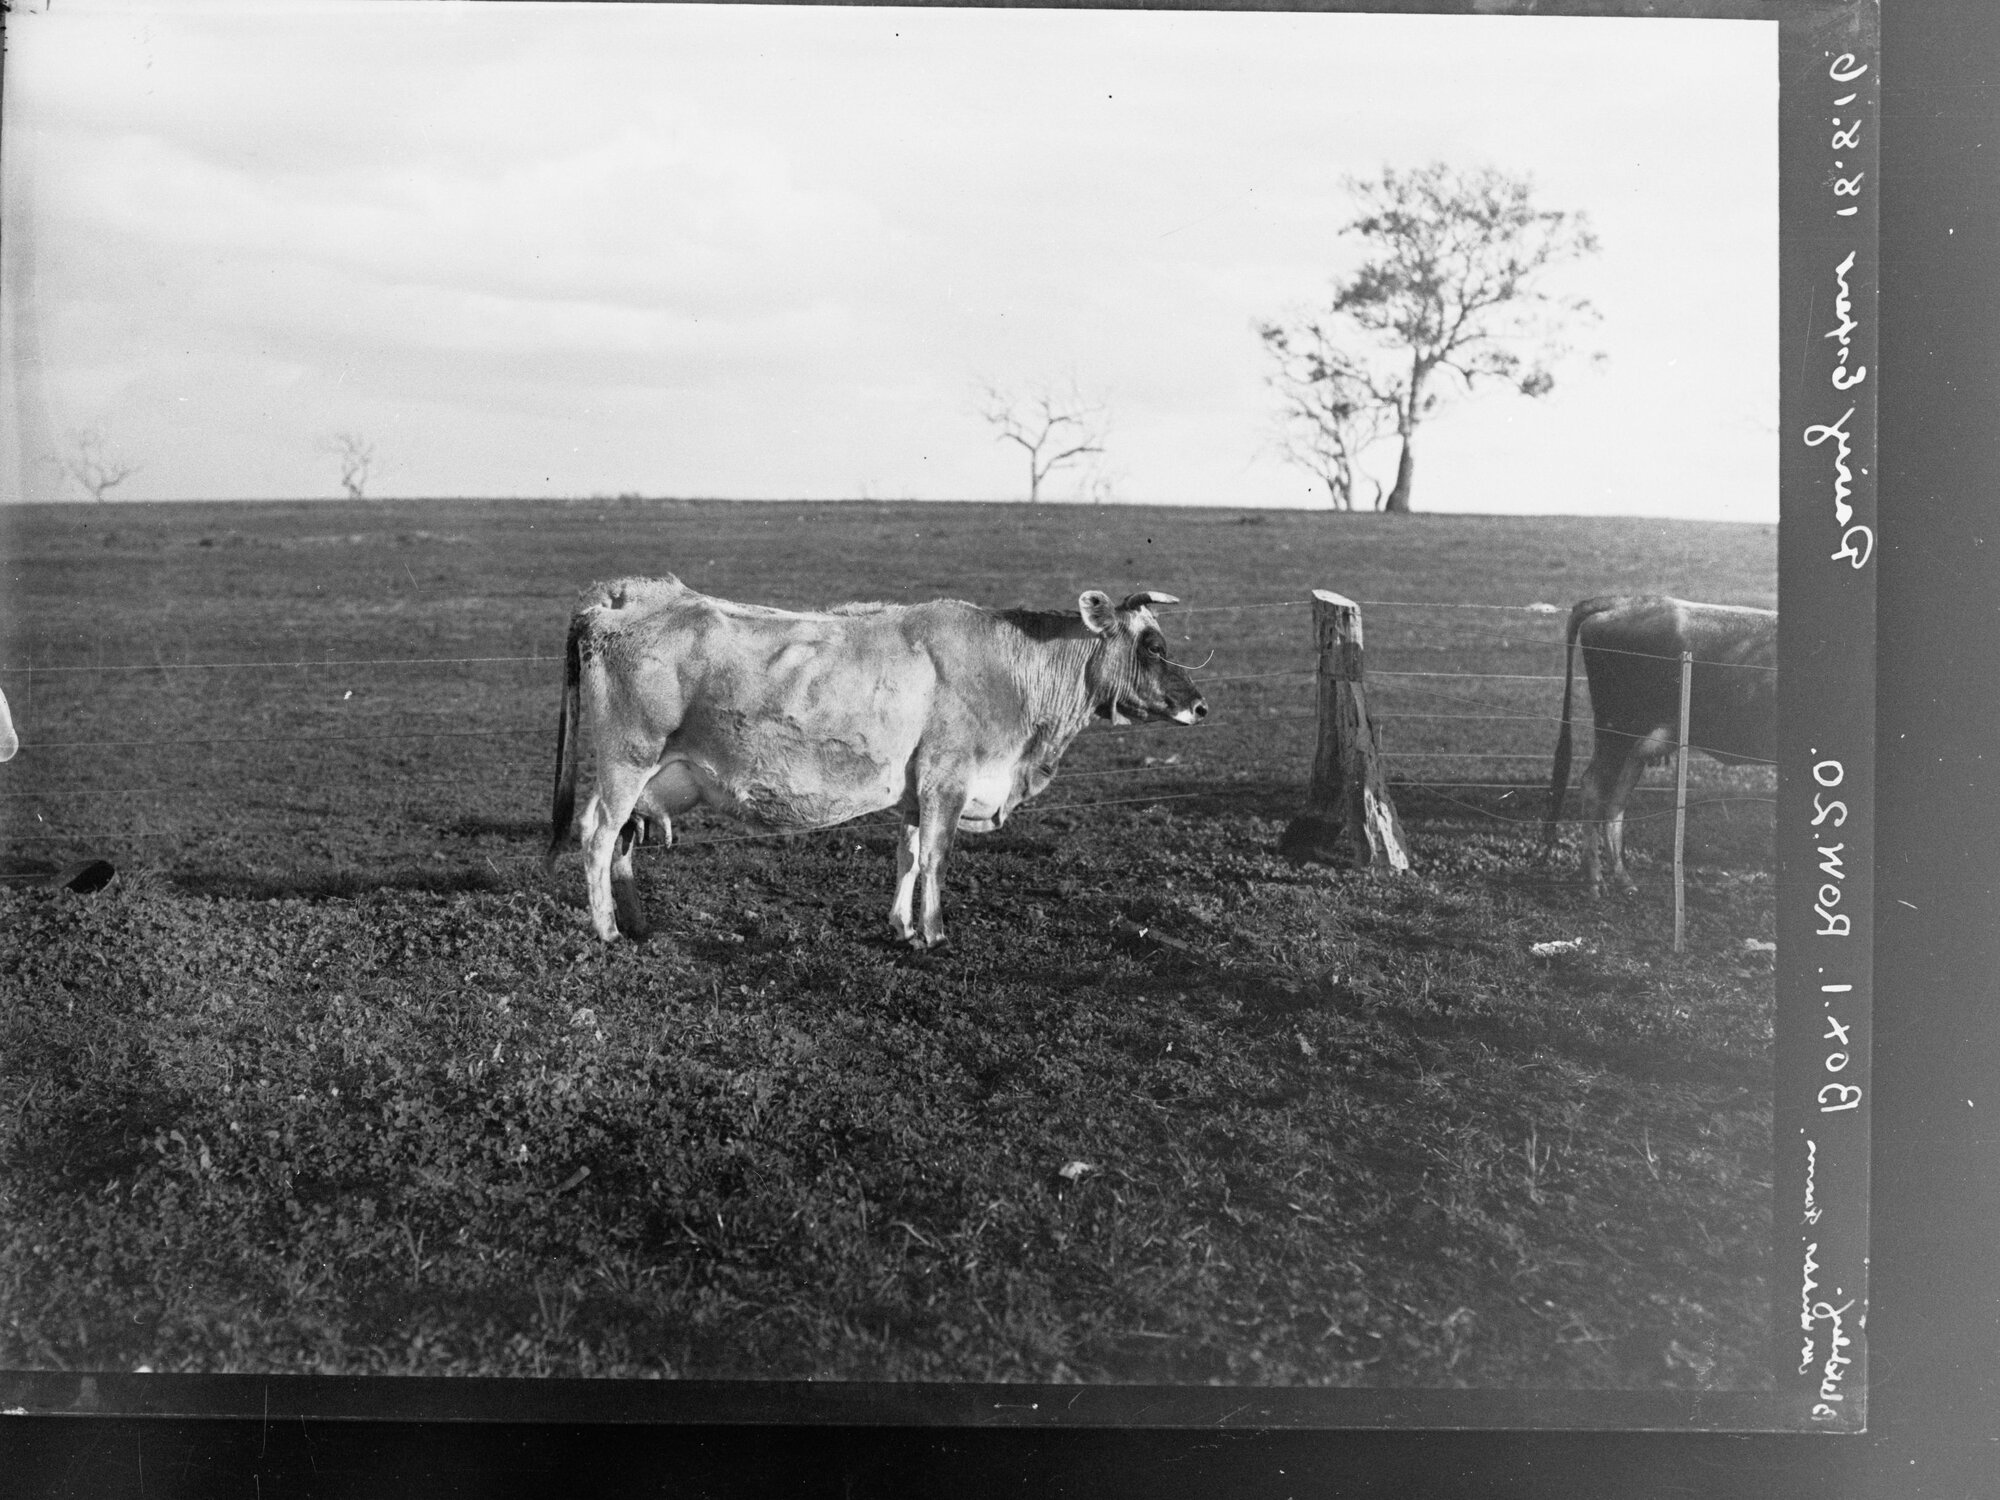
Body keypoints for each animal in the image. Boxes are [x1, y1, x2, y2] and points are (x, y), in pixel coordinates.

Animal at [547, 576, 1208, 948]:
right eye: (1153, 645)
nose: (1199, 705)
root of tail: (629, 593)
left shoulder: (918, 789)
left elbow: (908, 857)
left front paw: (901, 926)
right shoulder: (948, 779)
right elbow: (936, 858)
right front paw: (934, 934)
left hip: (640, 776)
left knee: (618, 840)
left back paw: (637, 924)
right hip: (626, 761)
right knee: (597, 837)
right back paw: (607, 930)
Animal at [1542, 594, 1776, 895]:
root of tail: (1623, 601)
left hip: (1635, 746)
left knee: (1616, 801)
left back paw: (1624, 879)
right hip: (1617, 731)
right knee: (1594, 787)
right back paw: (1594, 879)